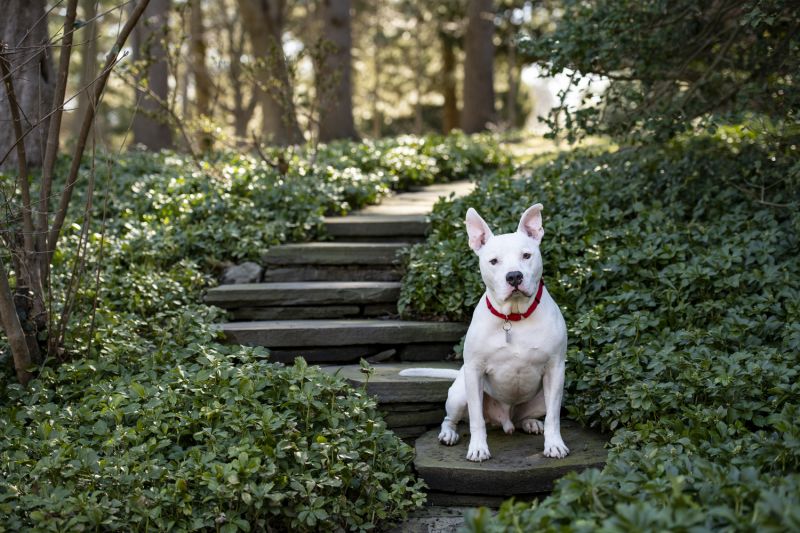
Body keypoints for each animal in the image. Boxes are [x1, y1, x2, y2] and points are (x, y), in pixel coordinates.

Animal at [400, 204, 568, 462]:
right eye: (494, 261)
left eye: (526, 256)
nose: (514, 276)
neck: (513, 317)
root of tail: (506, 420)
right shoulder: (475, 371)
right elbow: (476, 419)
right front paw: (478, 448)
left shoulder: (555, 368)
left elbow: (554, 417)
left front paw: (554, 445)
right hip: (460, 393)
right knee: (451, 418)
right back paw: (448, 434)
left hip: (546, 395)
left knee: (531, 415)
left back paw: (530, 423)